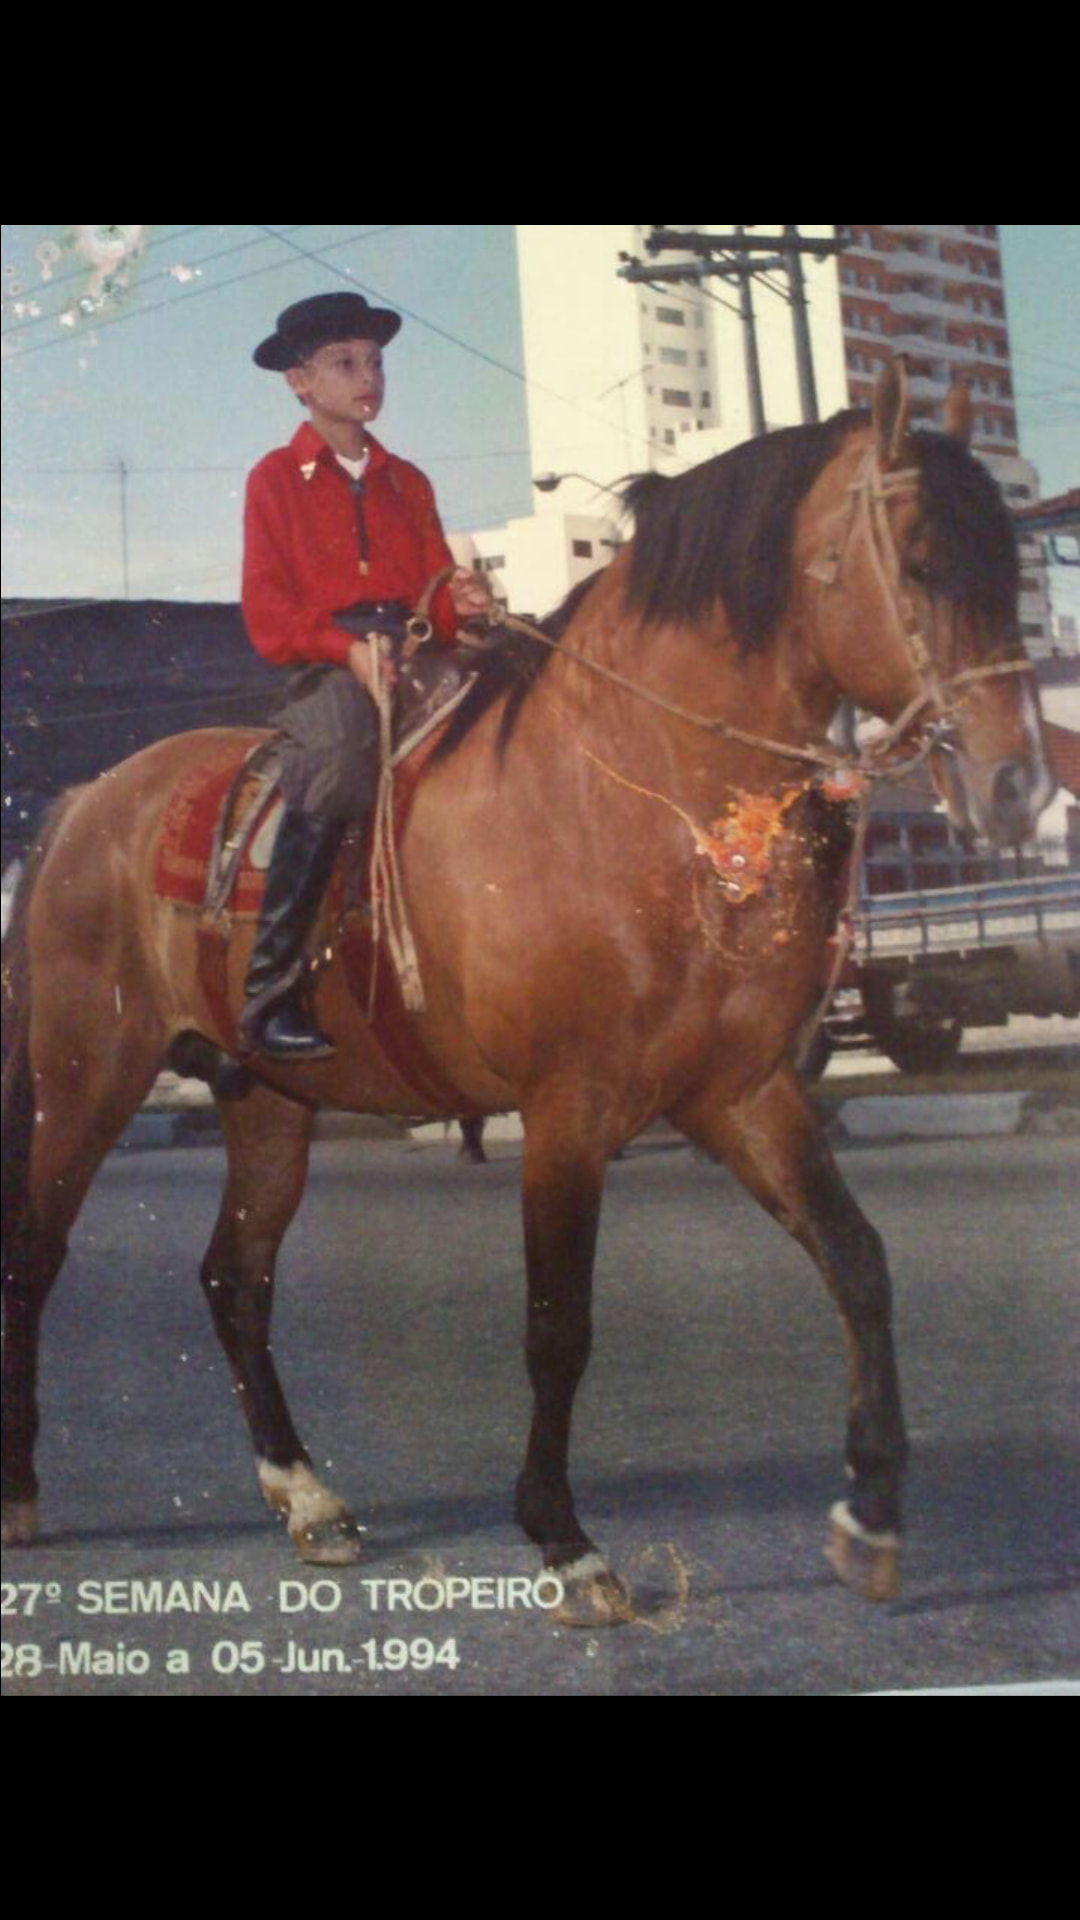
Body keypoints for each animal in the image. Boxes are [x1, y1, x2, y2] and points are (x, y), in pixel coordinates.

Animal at [0, 359, 1055, 1620]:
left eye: (1012, 563)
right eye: (924, 556)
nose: (1018, 783)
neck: (635, 792)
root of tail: (85, 805)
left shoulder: (742, 1094)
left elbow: (858, 1263)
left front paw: (873, 1514)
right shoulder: (566, 1112)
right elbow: (559, 1324)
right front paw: (563, 1538)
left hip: (266, 1097)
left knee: (234, 1279)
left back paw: (307, 1497)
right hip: (86, 1078)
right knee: (36, 1253)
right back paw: (21, 1489)